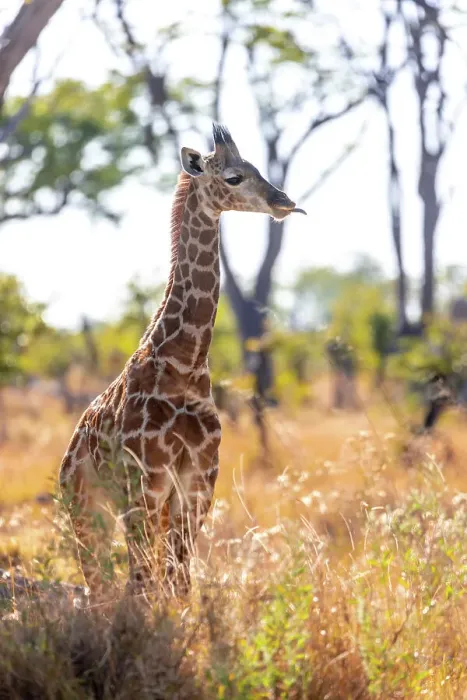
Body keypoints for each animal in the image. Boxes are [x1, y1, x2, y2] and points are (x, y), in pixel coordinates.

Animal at [58, 123, 306, 602]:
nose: (285, 202)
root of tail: (70, 450)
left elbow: (179, 580)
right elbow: (146, 581)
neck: (186, 363)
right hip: (85, 506)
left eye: (257, 168)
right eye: (233, 177)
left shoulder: (199, 478)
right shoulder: (148, 477)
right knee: (99, 581)